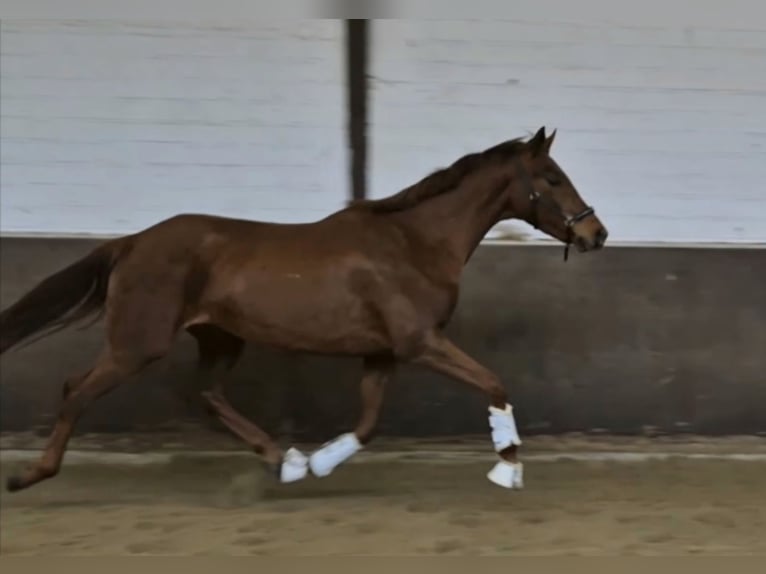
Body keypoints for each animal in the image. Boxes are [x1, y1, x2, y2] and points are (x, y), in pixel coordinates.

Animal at [1, 127, 612, 496]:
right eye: (553, 178)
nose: (596, 234)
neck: (413, 242)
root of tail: (130, 243)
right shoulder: (419, 342)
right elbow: (493, 382)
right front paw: (508, 466)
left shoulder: (383, 352)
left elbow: (367, 424)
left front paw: (317, 462)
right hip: (138, 344)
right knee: (76, 390)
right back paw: (31, 475)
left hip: (220, 337)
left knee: (208, 393)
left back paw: (283, 460)